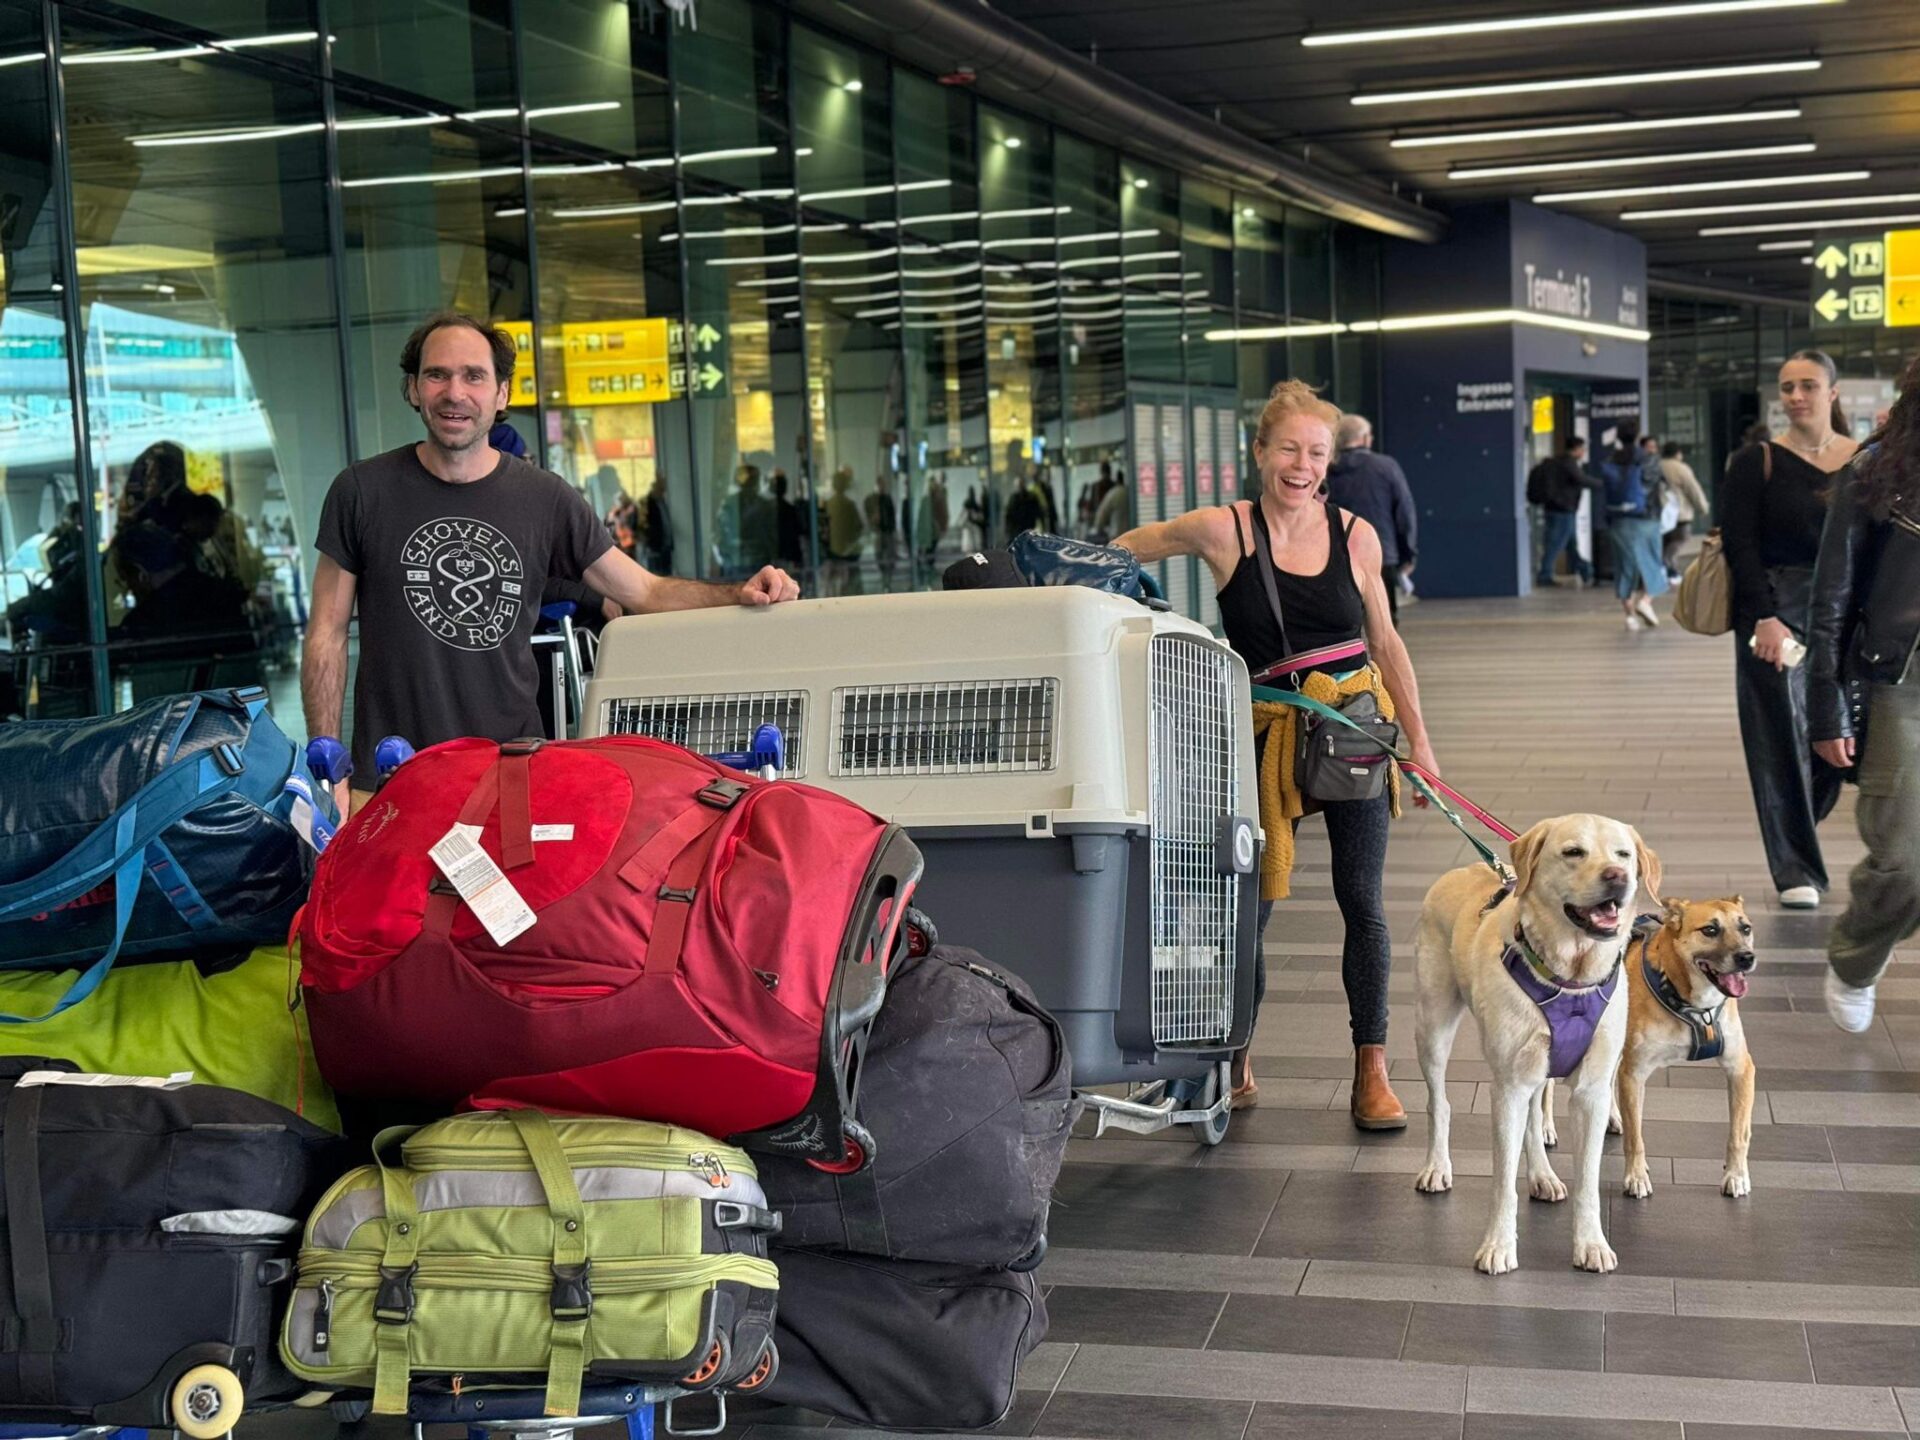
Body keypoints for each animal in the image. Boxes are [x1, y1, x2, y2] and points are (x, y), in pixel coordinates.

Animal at [1413, 817, 1666, 1282]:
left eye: (1623, 855)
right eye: (1573, 852)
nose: (1616, 877)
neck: (1569, 977)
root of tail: (1459, 870)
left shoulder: (1591, 1092)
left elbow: (1587, 1180)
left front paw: (1591, 1244)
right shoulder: (1508, 1087)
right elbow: (1502, 1181)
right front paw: (1498, 1246)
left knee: (1533, 1118)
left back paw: (1543, 1176)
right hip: (1434, 1024)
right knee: (1439, 1101)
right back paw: (1438, 1166)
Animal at [1612, 902, 1758, 1205]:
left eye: (1746, 928)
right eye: (1710, 930)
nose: (1746, 958)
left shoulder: (1740, 1069)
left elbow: (1738, 1133)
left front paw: (1736, 1175)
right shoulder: (1633, 1074)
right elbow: (1635, 1136)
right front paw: (1636, 1177)